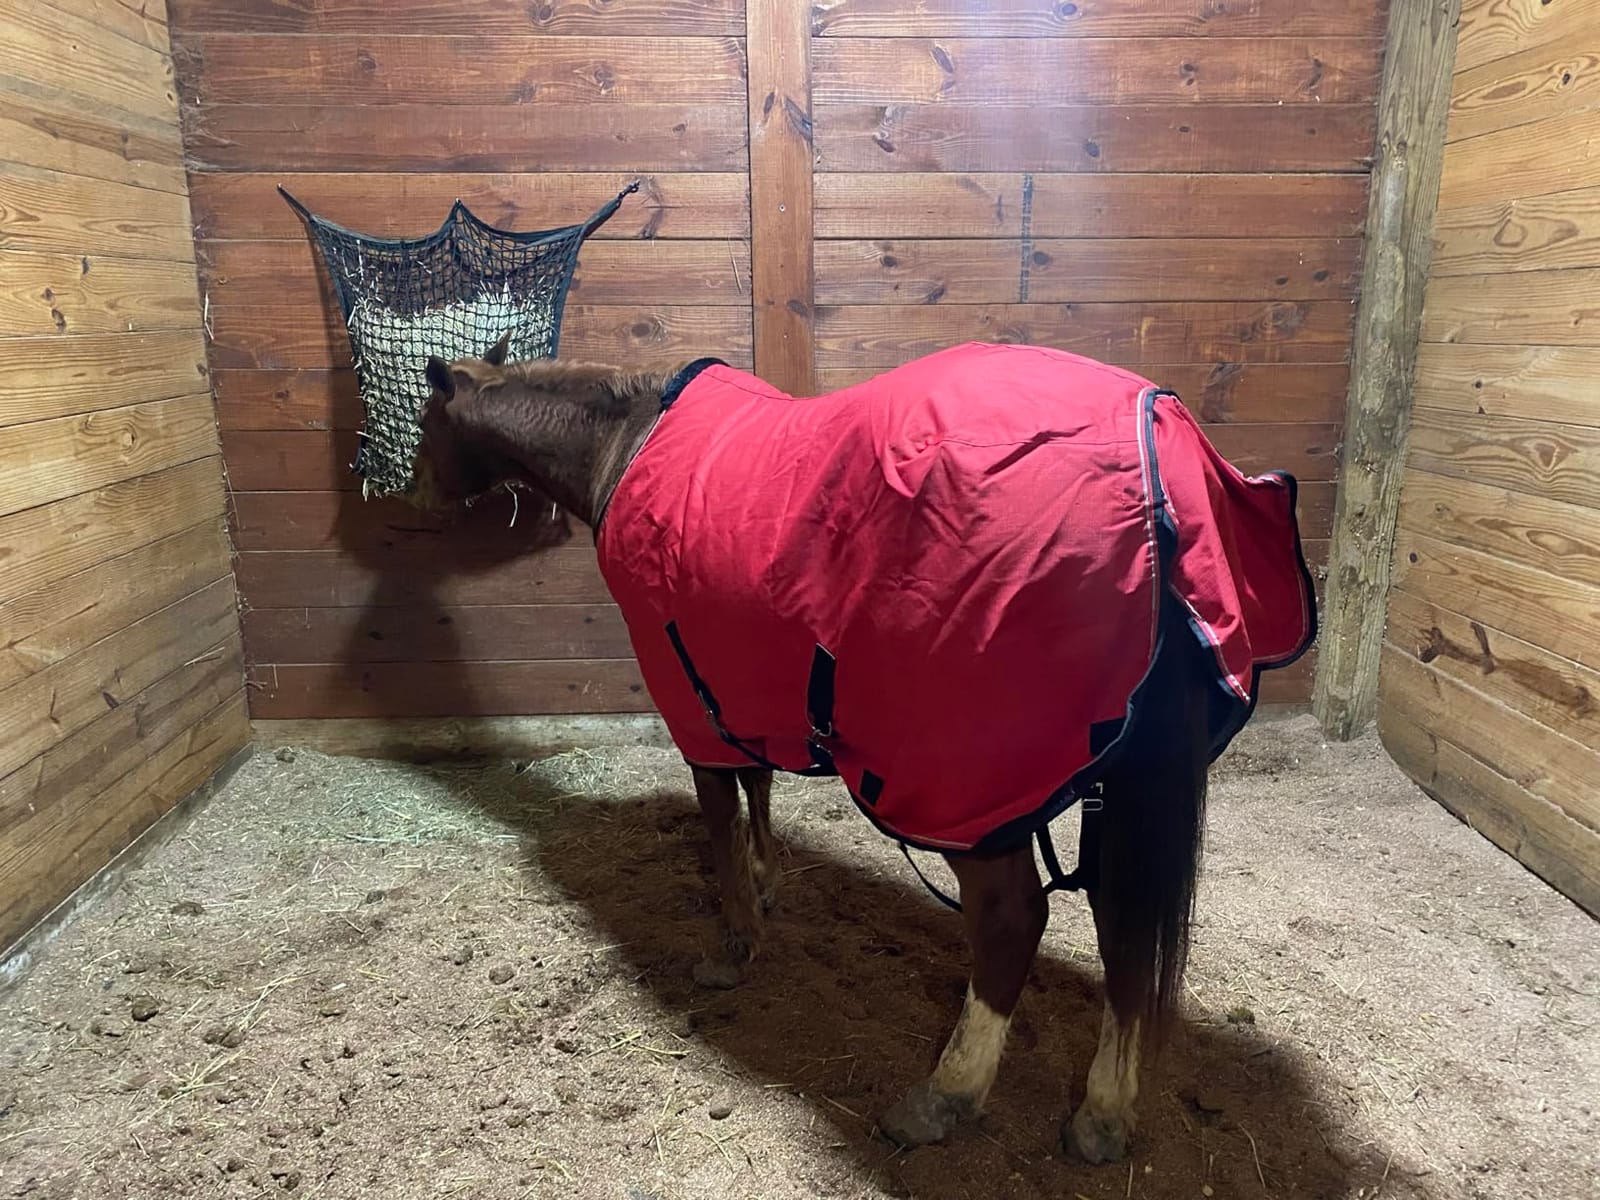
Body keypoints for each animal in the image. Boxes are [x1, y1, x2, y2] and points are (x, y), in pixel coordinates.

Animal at [411, 333, 1316, 1162]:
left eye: (426, 423)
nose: (416, 502)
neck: (624, 442)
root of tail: (1159, 461)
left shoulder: (691, 702)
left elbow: (721, 815)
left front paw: (734, 946)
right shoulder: (744, 685)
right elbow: (759, 790)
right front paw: (768, 887)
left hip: (965, 788)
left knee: (1012, 919)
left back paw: (945, 1096)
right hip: (1111, 779)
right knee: (1121, 924)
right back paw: (1103, 1116)